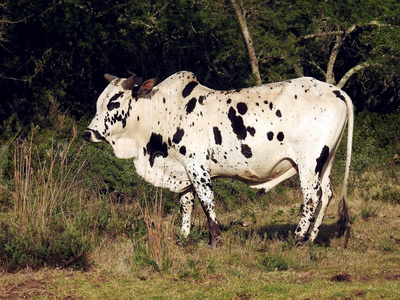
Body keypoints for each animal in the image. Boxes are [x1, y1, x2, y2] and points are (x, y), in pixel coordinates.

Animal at [85, 71, 354, 247]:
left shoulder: (197, 167)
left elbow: (206, 202)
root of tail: (336, 90)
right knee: (327, 193)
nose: (89, 133)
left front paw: (215, 239)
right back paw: (311, 237)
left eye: (114, 102)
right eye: (100, 101)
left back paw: (298, 237)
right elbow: (186, 204)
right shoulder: (182, 170)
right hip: (325, 162)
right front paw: (184, 237)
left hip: (309, 163)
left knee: (311, 197)